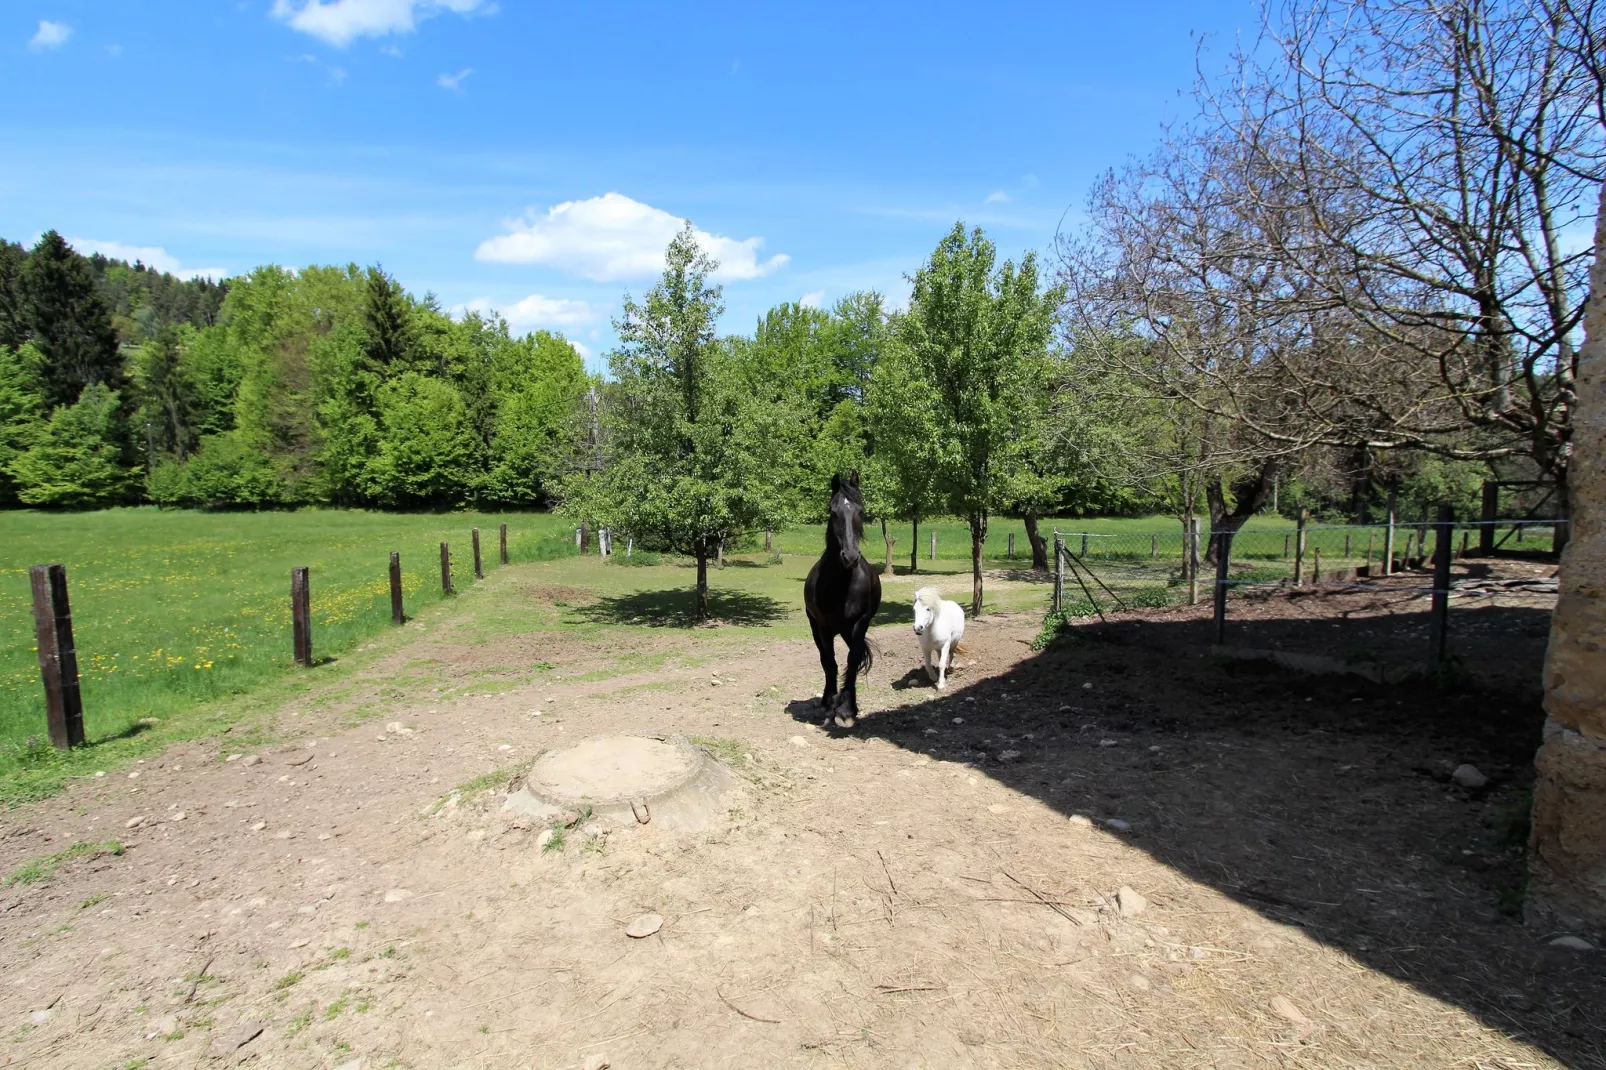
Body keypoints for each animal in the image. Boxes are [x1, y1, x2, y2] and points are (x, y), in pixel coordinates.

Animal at [809, 472, 886, 729]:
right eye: (833, 512)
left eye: (860, 511)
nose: (850, 557)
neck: (843, 584)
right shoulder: (823, 627)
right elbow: (829, 662)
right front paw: (830, 703)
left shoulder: (861, 622)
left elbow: (853, 659)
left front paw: (847, 709)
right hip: (817, 628)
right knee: (825, 659)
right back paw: (829, 699)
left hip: (848, 629)